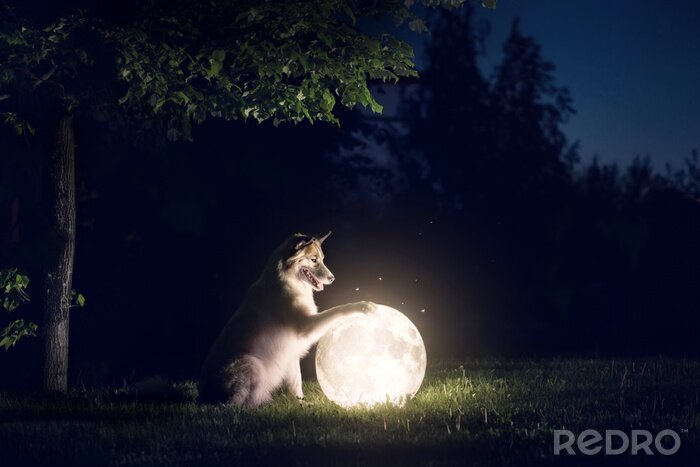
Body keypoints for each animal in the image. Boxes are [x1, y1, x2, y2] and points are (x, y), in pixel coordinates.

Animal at [199, 232, 375, 407]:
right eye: (313, 260)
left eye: (322, 259)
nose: (332, 278)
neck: (286, 281)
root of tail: (204, 396)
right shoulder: (307, 327)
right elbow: (336, 310)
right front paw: (362, 306)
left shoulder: (291, 354)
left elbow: (296, 383)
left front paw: (302, 403)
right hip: (252, 363)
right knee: (238, 405)